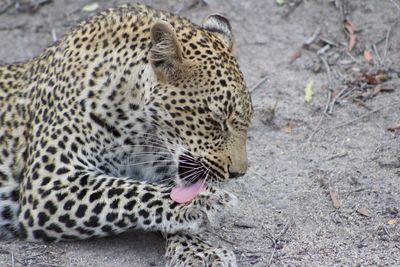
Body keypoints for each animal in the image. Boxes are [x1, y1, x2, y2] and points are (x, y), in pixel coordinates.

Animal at [0, 2, 253, 267]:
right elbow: (127, 190)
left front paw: (199, 250)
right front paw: (205, 201)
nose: (238, 173)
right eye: (217, 120)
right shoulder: (48, 184)